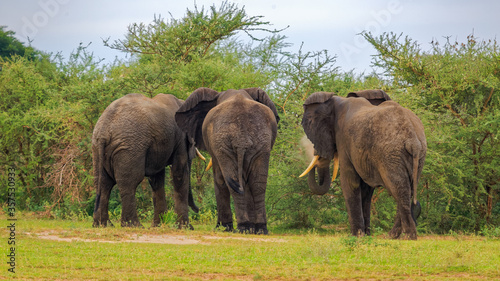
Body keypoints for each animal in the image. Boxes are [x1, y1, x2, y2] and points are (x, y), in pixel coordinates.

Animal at [92, 93, 203, 226]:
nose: (198, 209)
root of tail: (104, 130)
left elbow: (156, 179)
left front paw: (158, 225)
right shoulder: (180, 139)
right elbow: (179, 173)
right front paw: (186, 227)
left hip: (98, 148)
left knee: (103, 183)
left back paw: (103, 225)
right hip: (130, 147)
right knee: (129, 182)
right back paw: (133, 225)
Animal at [176, 86, 280, 233]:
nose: (198, 210)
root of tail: (241, 137)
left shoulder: (216, 147)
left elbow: (219, 178)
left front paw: (223, 227)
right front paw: (251, 229)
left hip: (223, 143)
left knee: (231, 181)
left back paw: (243, 227)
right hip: (260, 142)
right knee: (257, 183)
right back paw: (259, 229)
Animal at [300, 89, 426, 238]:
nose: (313, 153)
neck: (337, 101)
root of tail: (413, 139)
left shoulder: (344, 140)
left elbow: (349, 181)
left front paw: (356, 235)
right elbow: (366, 189)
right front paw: (366, 234)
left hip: (390, 155)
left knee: (399, 189)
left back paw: (405, 236)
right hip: (418, 156)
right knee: (410, 189)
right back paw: (395, 235)